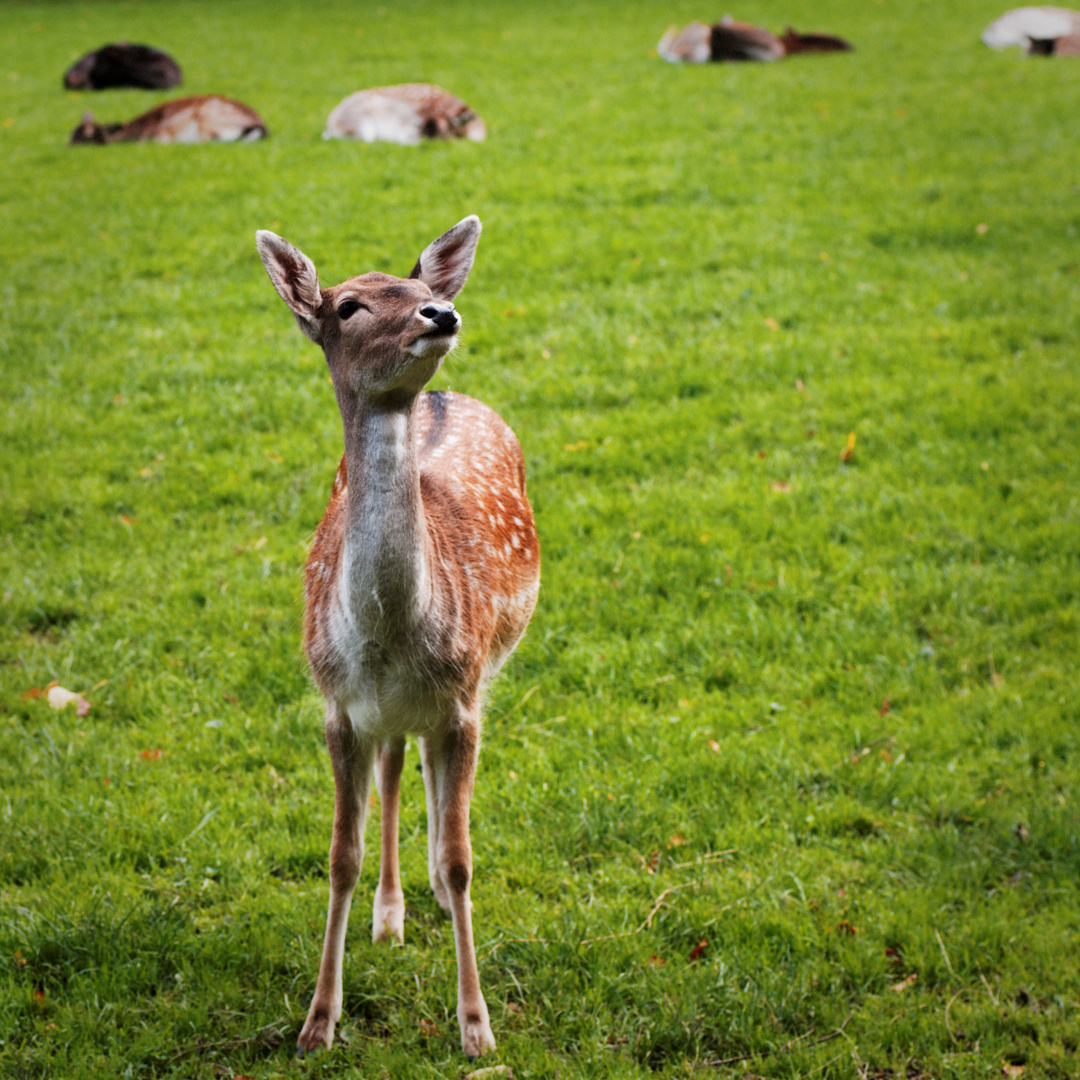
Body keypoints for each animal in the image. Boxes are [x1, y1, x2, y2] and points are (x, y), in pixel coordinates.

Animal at [253, 214, 540, 1058]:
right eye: (347, 306)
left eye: (418, 290)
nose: (440, 313)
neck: (389, 635)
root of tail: (442, 395)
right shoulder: (338, 709)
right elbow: (339, 857)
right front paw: (318, 1021)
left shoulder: (463, 701)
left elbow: (461, 856)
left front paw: (476, 1026)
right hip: (387, 715)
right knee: (392, 772)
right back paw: (389, 916)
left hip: (474, 679)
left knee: (430, 786)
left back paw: (429, 902)